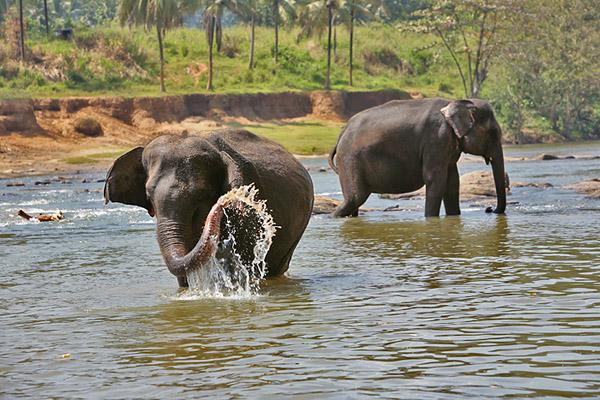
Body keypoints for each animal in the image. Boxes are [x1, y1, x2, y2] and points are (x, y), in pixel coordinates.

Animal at [328, 98, 506, 217]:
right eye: (494, 134)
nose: (490, 209)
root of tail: (341, 133)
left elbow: (452, 182)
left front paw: (454, 217)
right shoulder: (436, 139)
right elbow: (435, 180)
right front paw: (431, 219)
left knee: (354, 202)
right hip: (350, 159)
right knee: (355, 198)